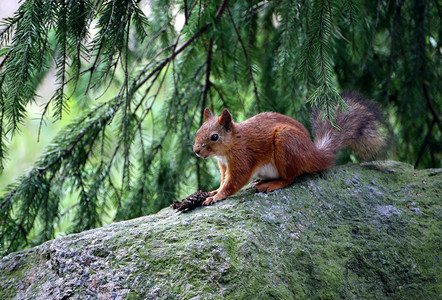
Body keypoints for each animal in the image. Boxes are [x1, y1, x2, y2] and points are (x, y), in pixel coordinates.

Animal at [193, 92, 384, 204]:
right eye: (198, 130)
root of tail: (314, 155)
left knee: (290, 178)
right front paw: (214, 190)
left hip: (286, 145)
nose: (196, 151)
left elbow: (234, 181)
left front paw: (216, 196)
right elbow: (224, 180)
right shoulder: (223, 165)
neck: (231, 143)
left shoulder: (243, 157)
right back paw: (261, 181)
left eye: (214, 137)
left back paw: (272, 184)